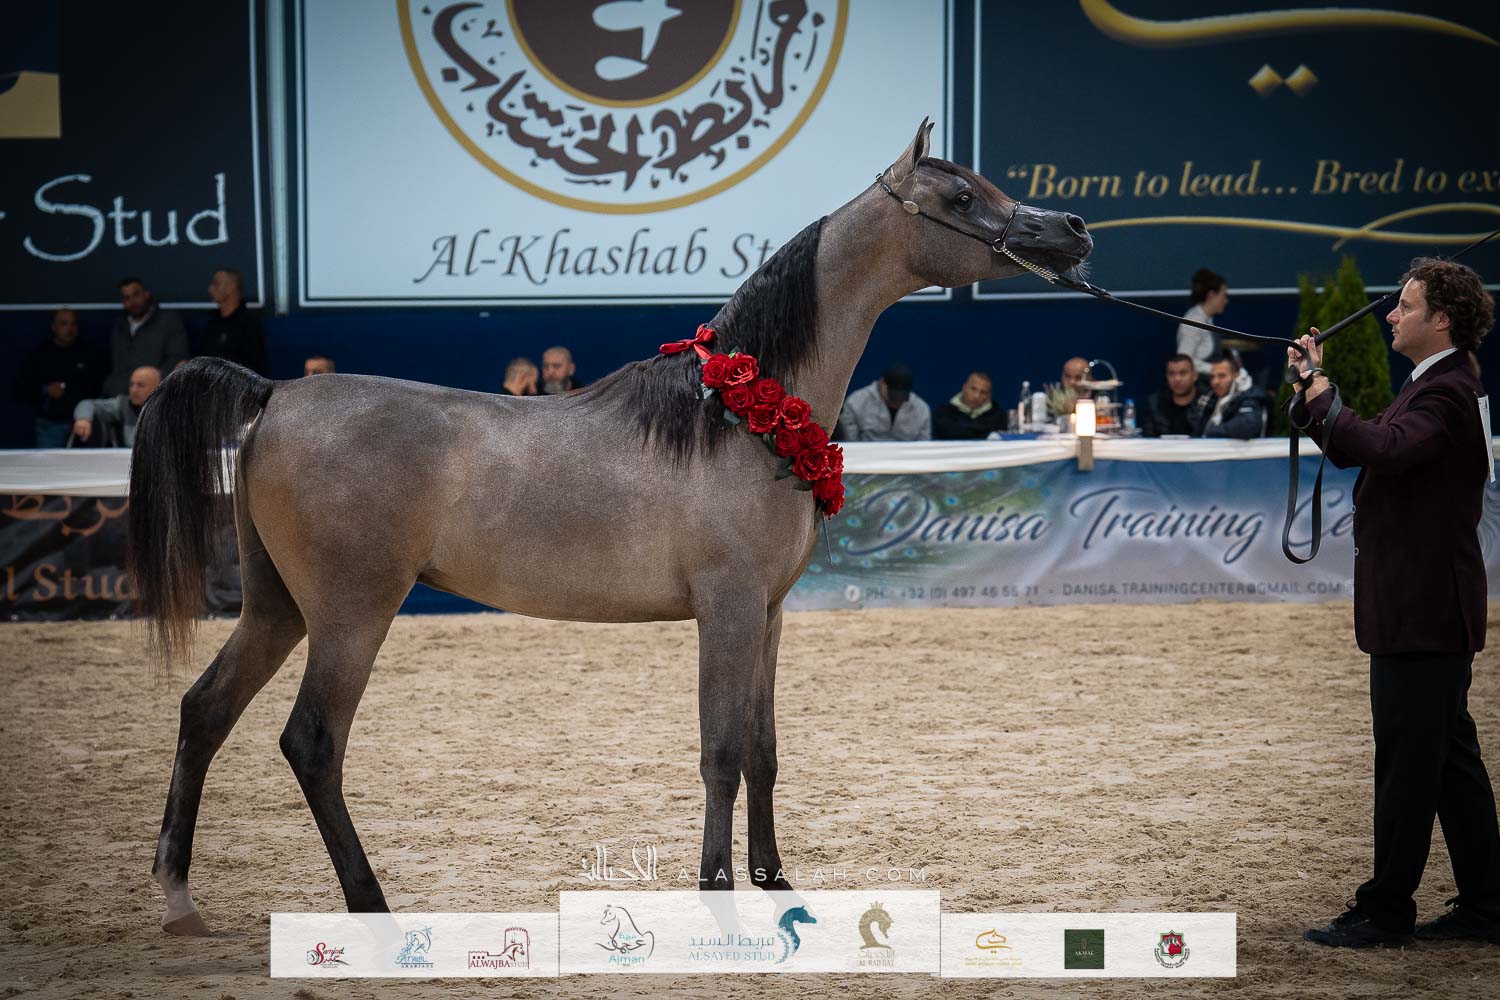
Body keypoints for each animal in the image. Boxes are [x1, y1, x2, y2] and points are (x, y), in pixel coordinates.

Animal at [130, 118, 1092, 934]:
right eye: (959, 196)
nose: (1073, 230)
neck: (738, 413)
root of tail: (273, 394)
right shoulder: (726, 610)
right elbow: (720, 750)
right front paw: (717, 891)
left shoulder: (769, 614)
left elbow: (765, 750)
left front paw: (775, 879)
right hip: (351, 612)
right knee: (312, 743)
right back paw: (371, 905)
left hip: (277, 607)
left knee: (203, 710)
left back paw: (179, 900)